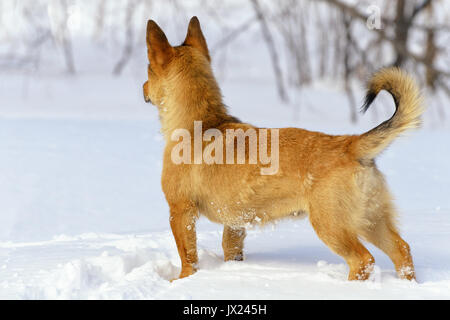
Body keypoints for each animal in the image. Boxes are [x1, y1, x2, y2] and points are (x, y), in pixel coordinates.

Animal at [145, 16, 426, 282]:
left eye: (148, 70)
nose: (143, 88)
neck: (202, 123)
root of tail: (351, 144)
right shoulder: (234, 223)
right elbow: (230, 249)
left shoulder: (180, 210)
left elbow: (187, 256)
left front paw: (181, 281)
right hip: (371, 220)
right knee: (402, 250)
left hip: (332, 225)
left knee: (363, 260)